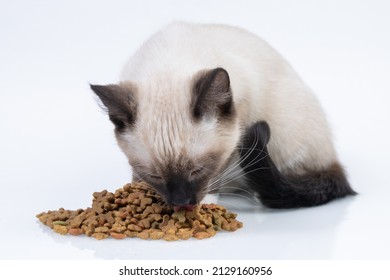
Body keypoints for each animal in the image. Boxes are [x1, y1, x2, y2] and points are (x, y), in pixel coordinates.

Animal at [91, 21, 356, 209]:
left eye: (197, 171)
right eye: (154, 175)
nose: (181, 202)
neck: (167, 64)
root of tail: (333, 158)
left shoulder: (241, 125)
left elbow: (219, 171)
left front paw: (207, 200)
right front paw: (137, 193)